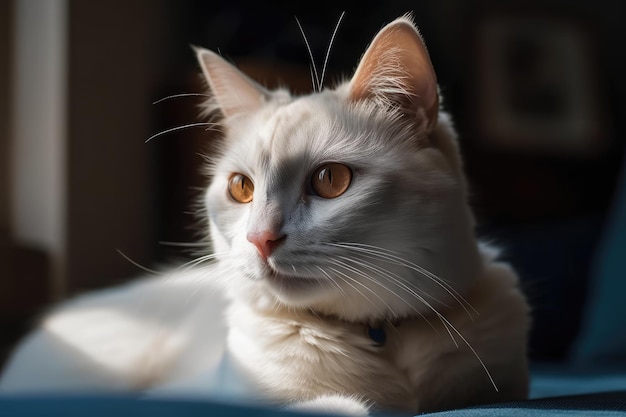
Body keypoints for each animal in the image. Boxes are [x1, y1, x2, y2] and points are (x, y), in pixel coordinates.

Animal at [0, 14, 528, 414]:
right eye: (241, 188)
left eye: (330, 180)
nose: (260, 238)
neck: (379, 336)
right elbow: (342, 406)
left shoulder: (498, 386)